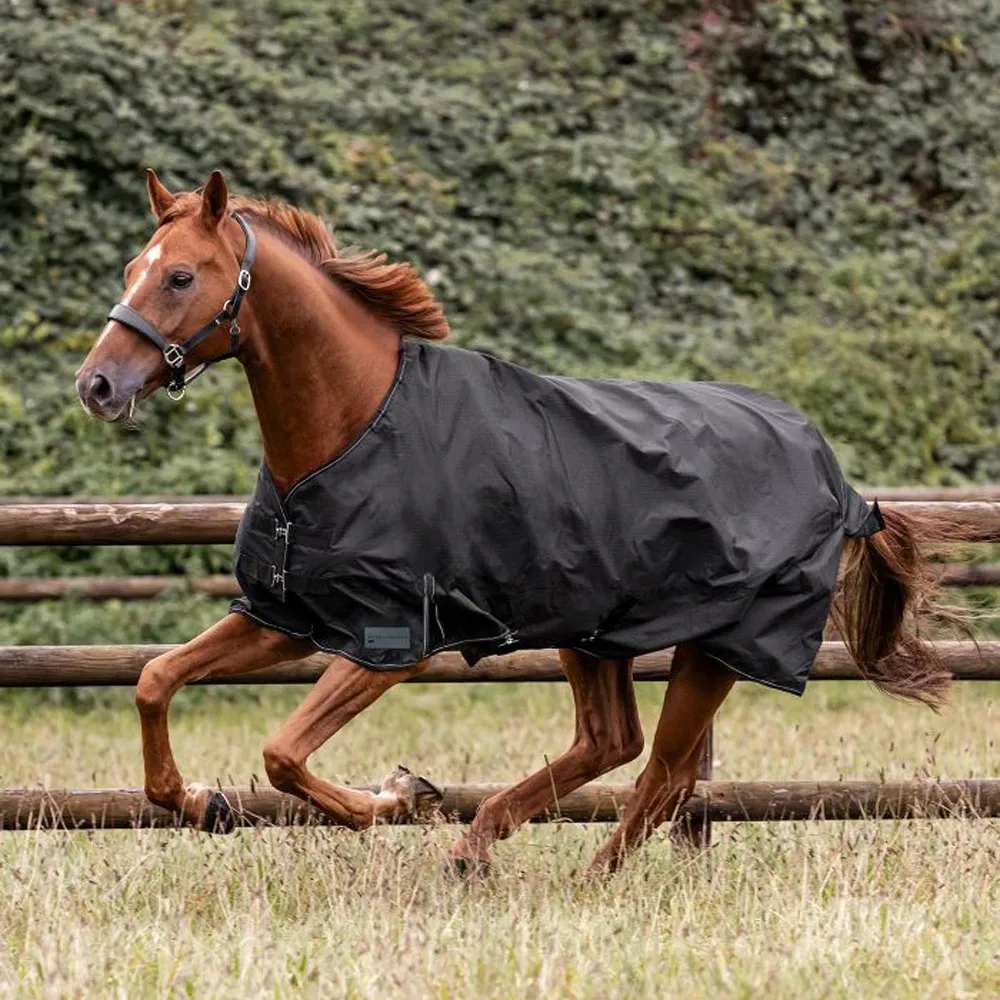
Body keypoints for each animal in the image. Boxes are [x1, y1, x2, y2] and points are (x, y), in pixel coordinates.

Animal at [75, 169, 966, 875]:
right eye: (130, 268)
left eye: (180, 276)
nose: (97, 386)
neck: (352, 428)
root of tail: (837, 477)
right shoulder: (286, 616)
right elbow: (155, 681)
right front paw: (203, 804)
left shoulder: (390, 642)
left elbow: (283, 752)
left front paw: (394, 799)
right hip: (595, 632)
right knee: (614, 745)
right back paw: (482, 846)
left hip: (718, 647)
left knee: (663, 772)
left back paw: (569, 874)